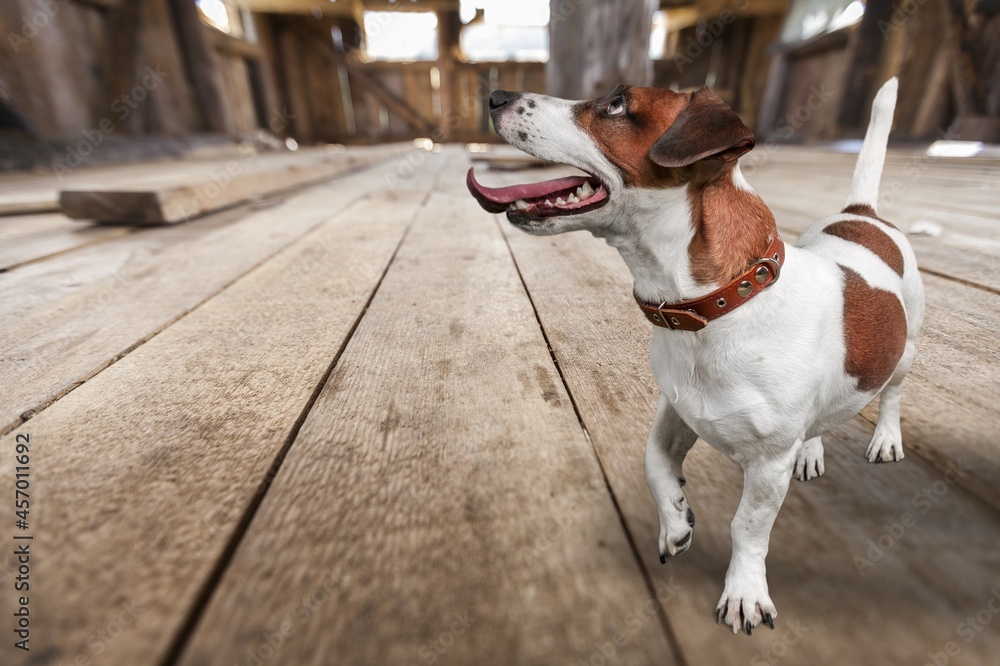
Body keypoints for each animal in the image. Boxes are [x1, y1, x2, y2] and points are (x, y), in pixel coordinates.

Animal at [468, 78, 920, 632]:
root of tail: (862, 215)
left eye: (615, 104)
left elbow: (748, 526)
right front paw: (675, 522)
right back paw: (811, 449)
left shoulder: (767, 464)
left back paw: (886, 439)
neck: (719, 309)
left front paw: (744, 591)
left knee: (892, 393)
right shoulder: (678, 410)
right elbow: (653, 461)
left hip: (904, 352)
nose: (495, 95)